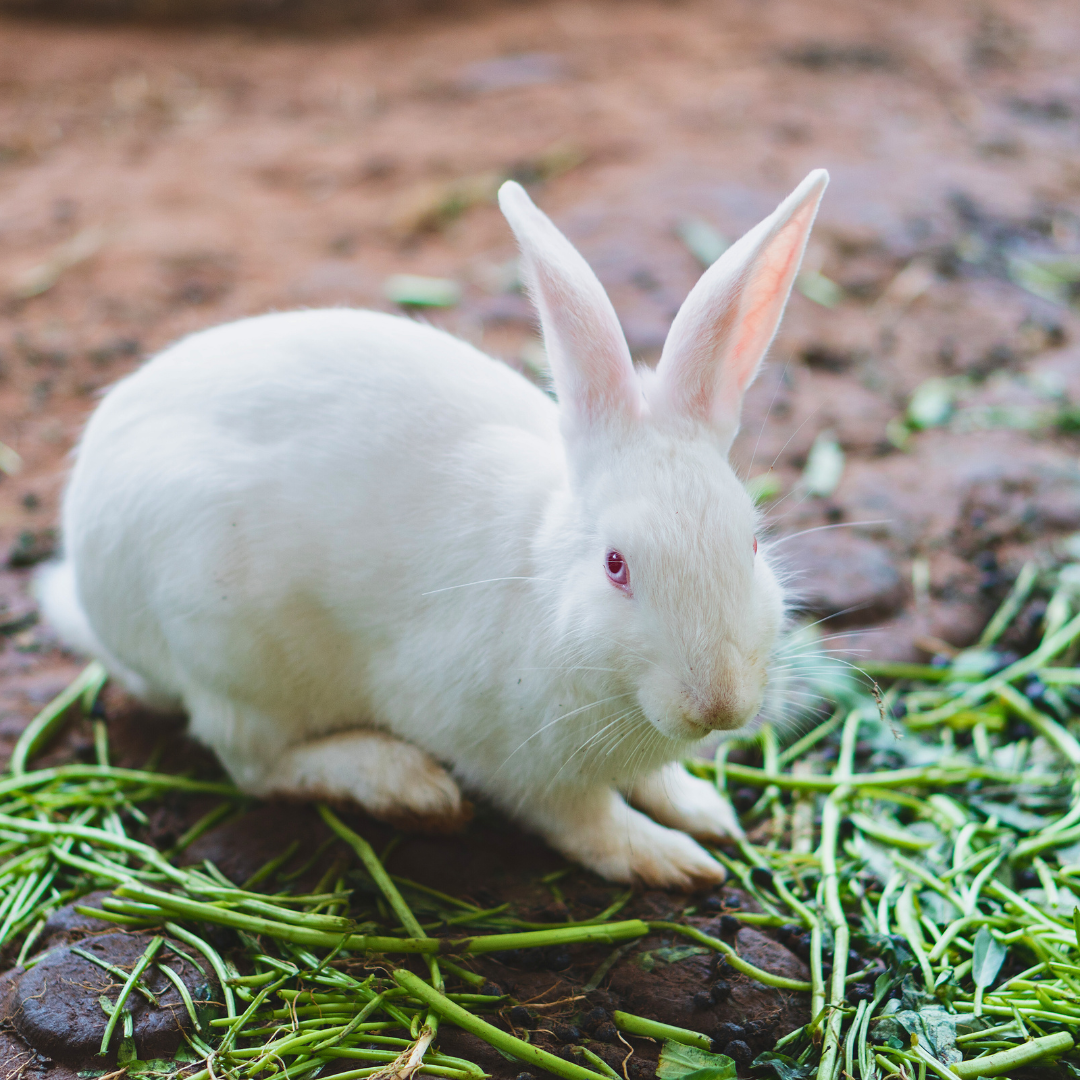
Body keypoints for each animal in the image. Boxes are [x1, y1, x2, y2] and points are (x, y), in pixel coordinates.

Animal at [39, 169, 828, 888]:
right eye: (616, 565)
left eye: (752, 542)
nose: (718, 704)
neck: (542, 582)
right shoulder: (513, 759)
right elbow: (585, 820)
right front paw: (669, 860)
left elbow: (655, 783)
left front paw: (706, 812)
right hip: (230, 655)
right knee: (255, 764)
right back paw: (408, 787)